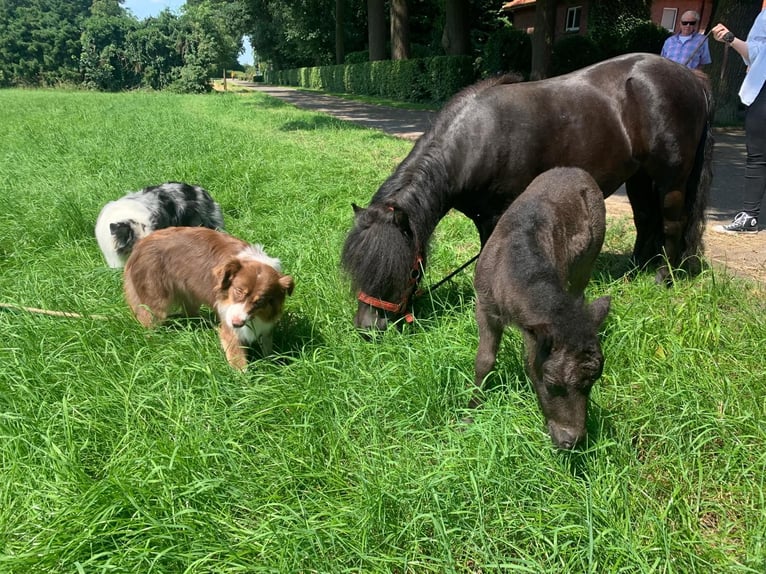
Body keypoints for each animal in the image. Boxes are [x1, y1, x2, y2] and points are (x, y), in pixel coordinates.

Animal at [124, 227, 296, 372]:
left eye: (260, 301)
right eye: (238, 291)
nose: (237, 323)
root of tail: (139, 245)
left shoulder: (264, 326)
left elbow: (267, 347)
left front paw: (271, 366)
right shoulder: (228, 326)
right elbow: (238, 361)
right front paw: (245, 385)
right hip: (156, 303)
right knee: (149, 321)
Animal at [342, 55, 712, 332]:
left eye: (406, 270)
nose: (368, 328)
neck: (479, 138)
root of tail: (692, 79)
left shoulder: (496, 215)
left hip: (671, 179)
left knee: (672, 223)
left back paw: (665, 277)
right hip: (638, 177)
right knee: (645, 219)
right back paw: (634, 273)